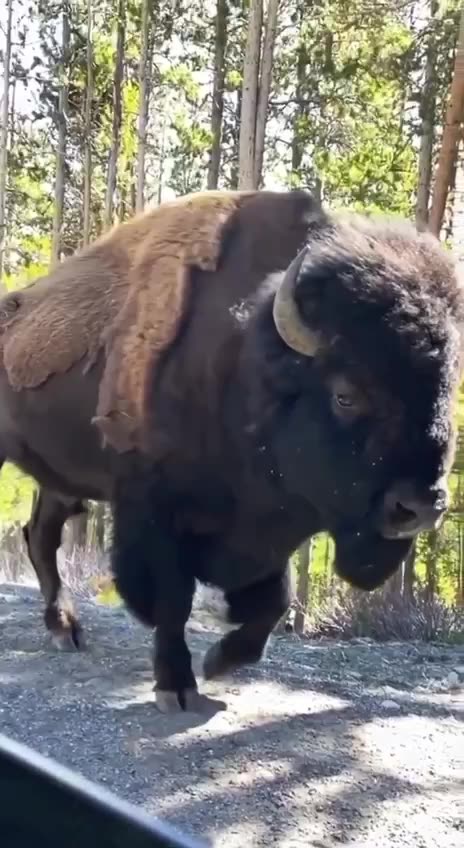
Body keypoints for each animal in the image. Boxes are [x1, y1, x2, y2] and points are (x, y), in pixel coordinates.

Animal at [0, 188, 463, 712]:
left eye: (447, 389)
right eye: (346, 394)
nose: (421, 507)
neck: (244, 367)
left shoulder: (266, 530)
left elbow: (274, 602)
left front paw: (219, 661)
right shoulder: (155, 512)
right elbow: (172, 599)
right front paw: (176, 685)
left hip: (58, 481)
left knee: (40, 536)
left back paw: (66, 630)